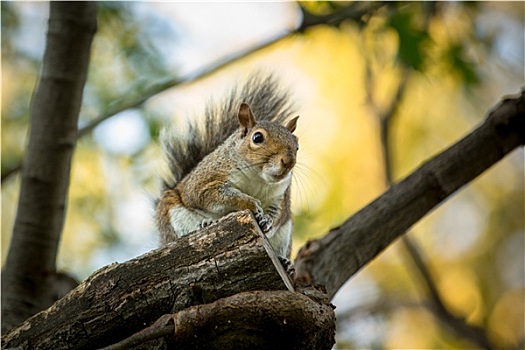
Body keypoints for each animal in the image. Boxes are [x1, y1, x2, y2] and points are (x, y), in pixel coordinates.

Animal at [156, 74, 298, 260]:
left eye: (297, 145)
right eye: (257, 137)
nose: (288, 162)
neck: (257, 178)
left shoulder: (280, 196)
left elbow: (278, 214)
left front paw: (266, 220)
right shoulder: (205, 181)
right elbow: (211, 195)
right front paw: (249, 202)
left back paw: (286, 263)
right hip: (173, 214)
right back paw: (205, 223)